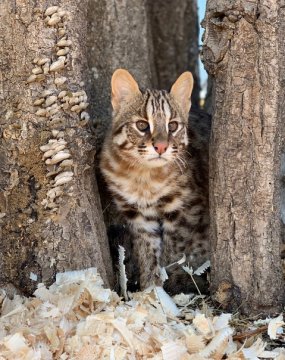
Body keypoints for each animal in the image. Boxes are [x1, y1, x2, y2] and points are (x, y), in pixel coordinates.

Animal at [100, 68, 209, 292]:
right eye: (142, 125)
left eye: (173, 125)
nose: (161, 147)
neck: (144, 176)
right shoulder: (137, 214)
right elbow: (147, 252)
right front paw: (151, 289)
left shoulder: (185, 209)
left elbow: (173, 252)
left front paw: (167, 284)